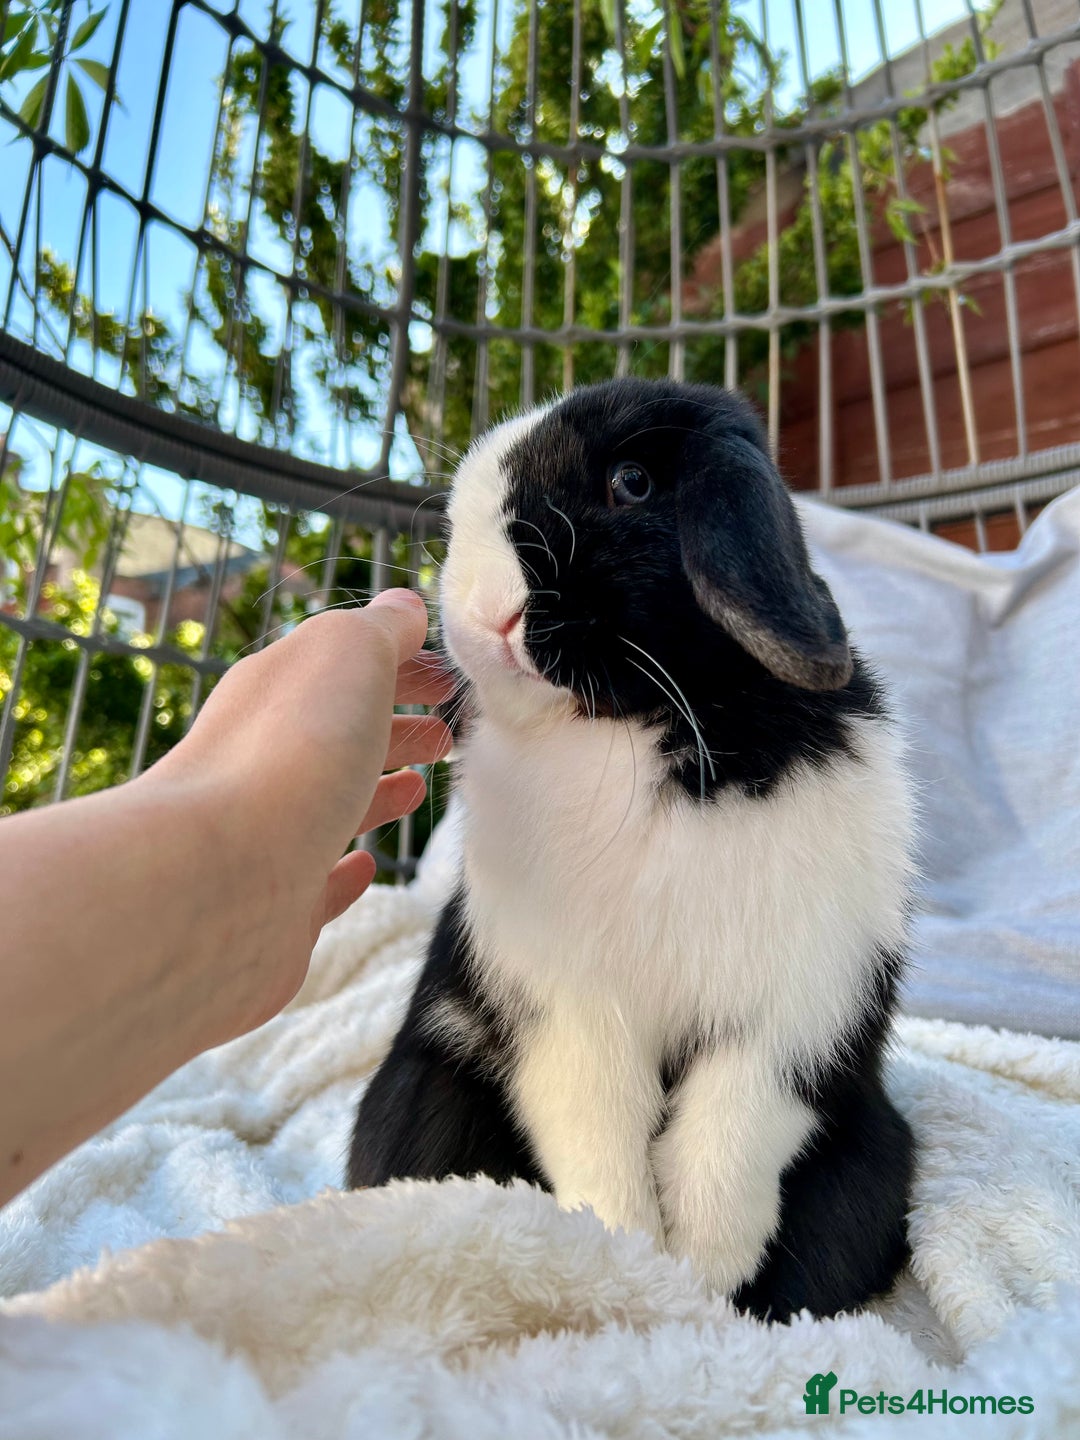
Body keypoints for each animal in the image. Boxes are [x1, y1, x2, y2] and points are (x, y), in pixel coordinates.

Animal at [347, 377, 916, 1323]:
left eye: (633, 483)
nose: (483, 613)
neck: (636, 734)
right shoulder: (569, 1016)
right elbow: (601, 1134)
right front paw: (631, 1259)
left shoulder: (794, 1010)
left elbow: (729, 1138)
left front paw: (704, 1278)